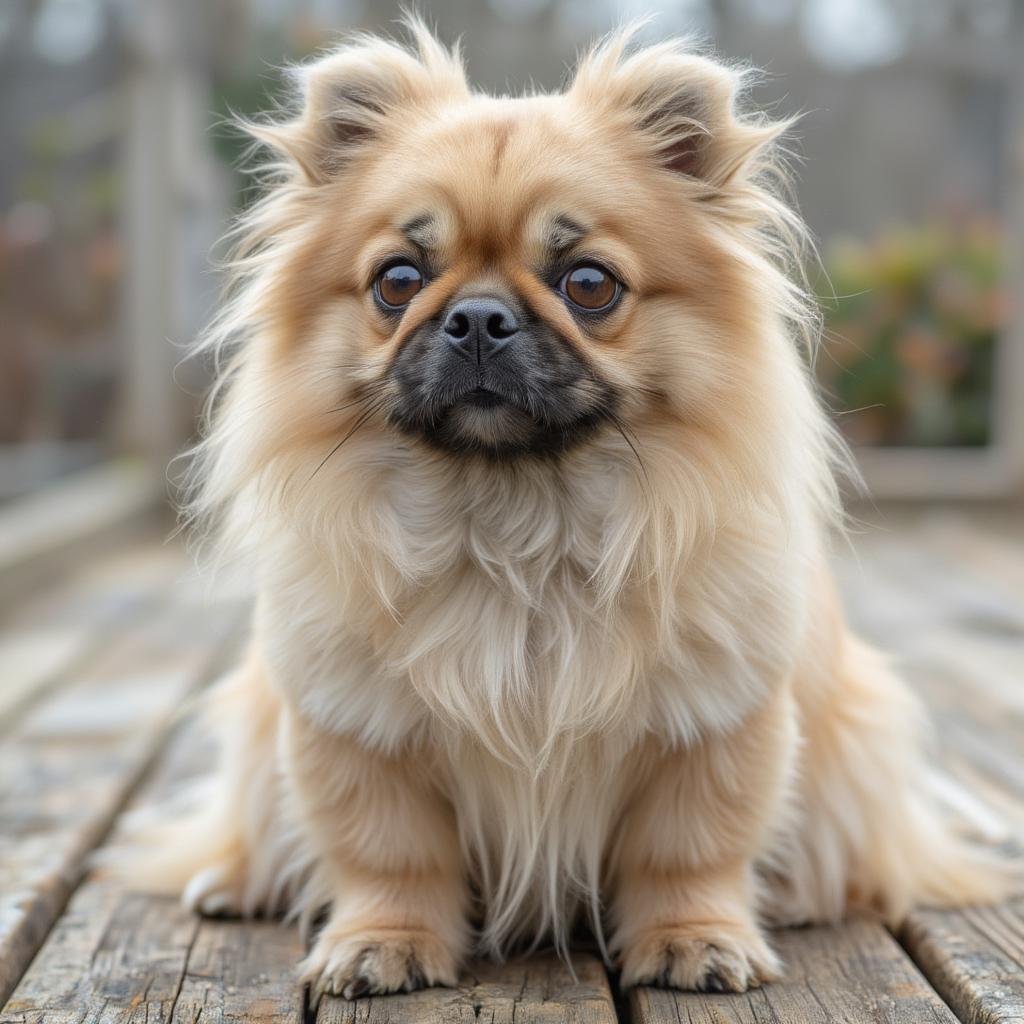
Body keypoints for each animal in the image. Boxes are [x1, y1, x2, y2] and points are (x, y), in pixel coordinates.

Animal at [108, 19, 1003, 1003]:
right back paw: (234, 882)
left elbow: (688, 850)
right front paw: (382, 942)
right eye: (396, 281)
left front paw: (696, 940)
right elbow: (388, 855)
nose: (476, 317)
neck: (515, 522)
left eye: (588, 285)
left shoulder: (713, 726)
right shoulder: (357, 730)